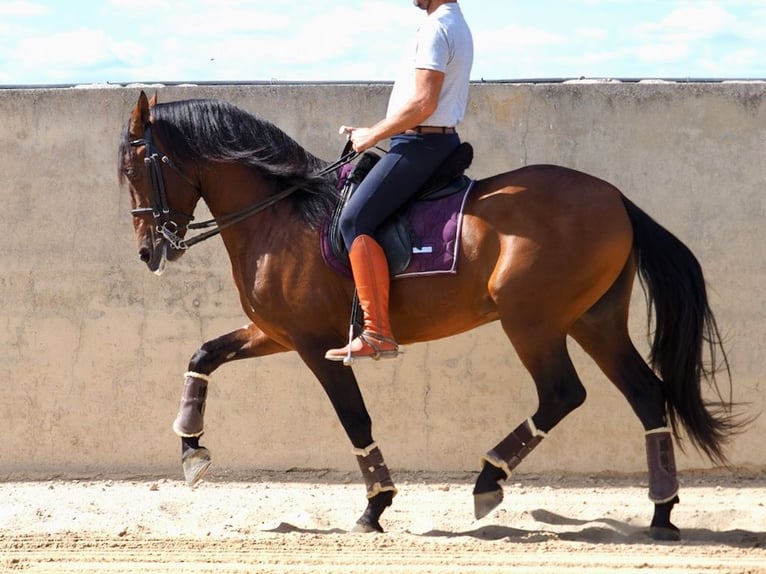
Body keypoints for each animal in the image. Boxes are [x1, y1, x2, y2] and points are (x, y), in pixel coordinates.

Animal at [118, 92, 736, 544]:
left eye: (134, 167)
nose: (149, 251)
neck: (281, 213)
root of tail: (616, 199)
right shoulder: (277, 333)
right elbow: (204, 354)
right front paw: (191, 451)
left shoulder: (316, 344)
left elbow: (355, 419)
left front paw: (375, 506)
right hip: (594, 321)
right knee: (646, 394)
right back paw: (661, 514)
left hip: (533, 322)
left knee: (563, 393)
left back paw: (489, 481)